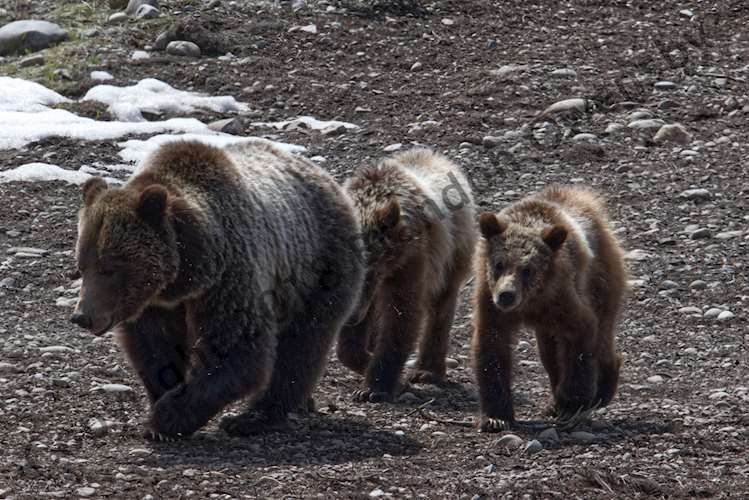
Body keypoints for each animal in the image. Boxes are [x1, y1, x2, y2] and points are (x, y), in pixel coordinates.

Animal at [70, 139, 366, 440]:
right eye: (81, 266)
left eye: (108, 268)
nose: (82, 316)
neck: (185, 275)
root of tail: (328, 180)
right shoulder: (155, 304)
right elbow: (154, 347)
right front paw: (163, 399)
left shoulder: (229, 276)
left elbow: (236, 349)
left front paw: (166, 418)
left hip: (316, 269)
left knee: (300, 346)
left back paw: (255, 417)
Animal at [338, 148, 476, 402]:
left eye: (371, 270)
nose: (351, 316)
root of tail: (436, 156)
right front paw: (364, 358)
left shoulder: (411, 260)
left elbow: (402, 314)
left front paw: (375, 387)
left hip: (452, 253)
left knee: (441, 307)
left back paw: (427, 371)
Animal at [474, 186, 624, 432]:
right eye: (499, 264)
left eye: (527, 269)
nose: (506, 295)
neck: (530, 302)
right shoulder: (490, 302)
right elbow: (492, 347)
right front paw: (497, 417)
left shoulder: (561, 298)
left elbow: (581, 335)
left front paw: (572, 403)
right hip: (546, 324)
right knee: (549, 353)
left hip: (600, 278)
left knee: (602, 333)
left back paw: (603, 388)